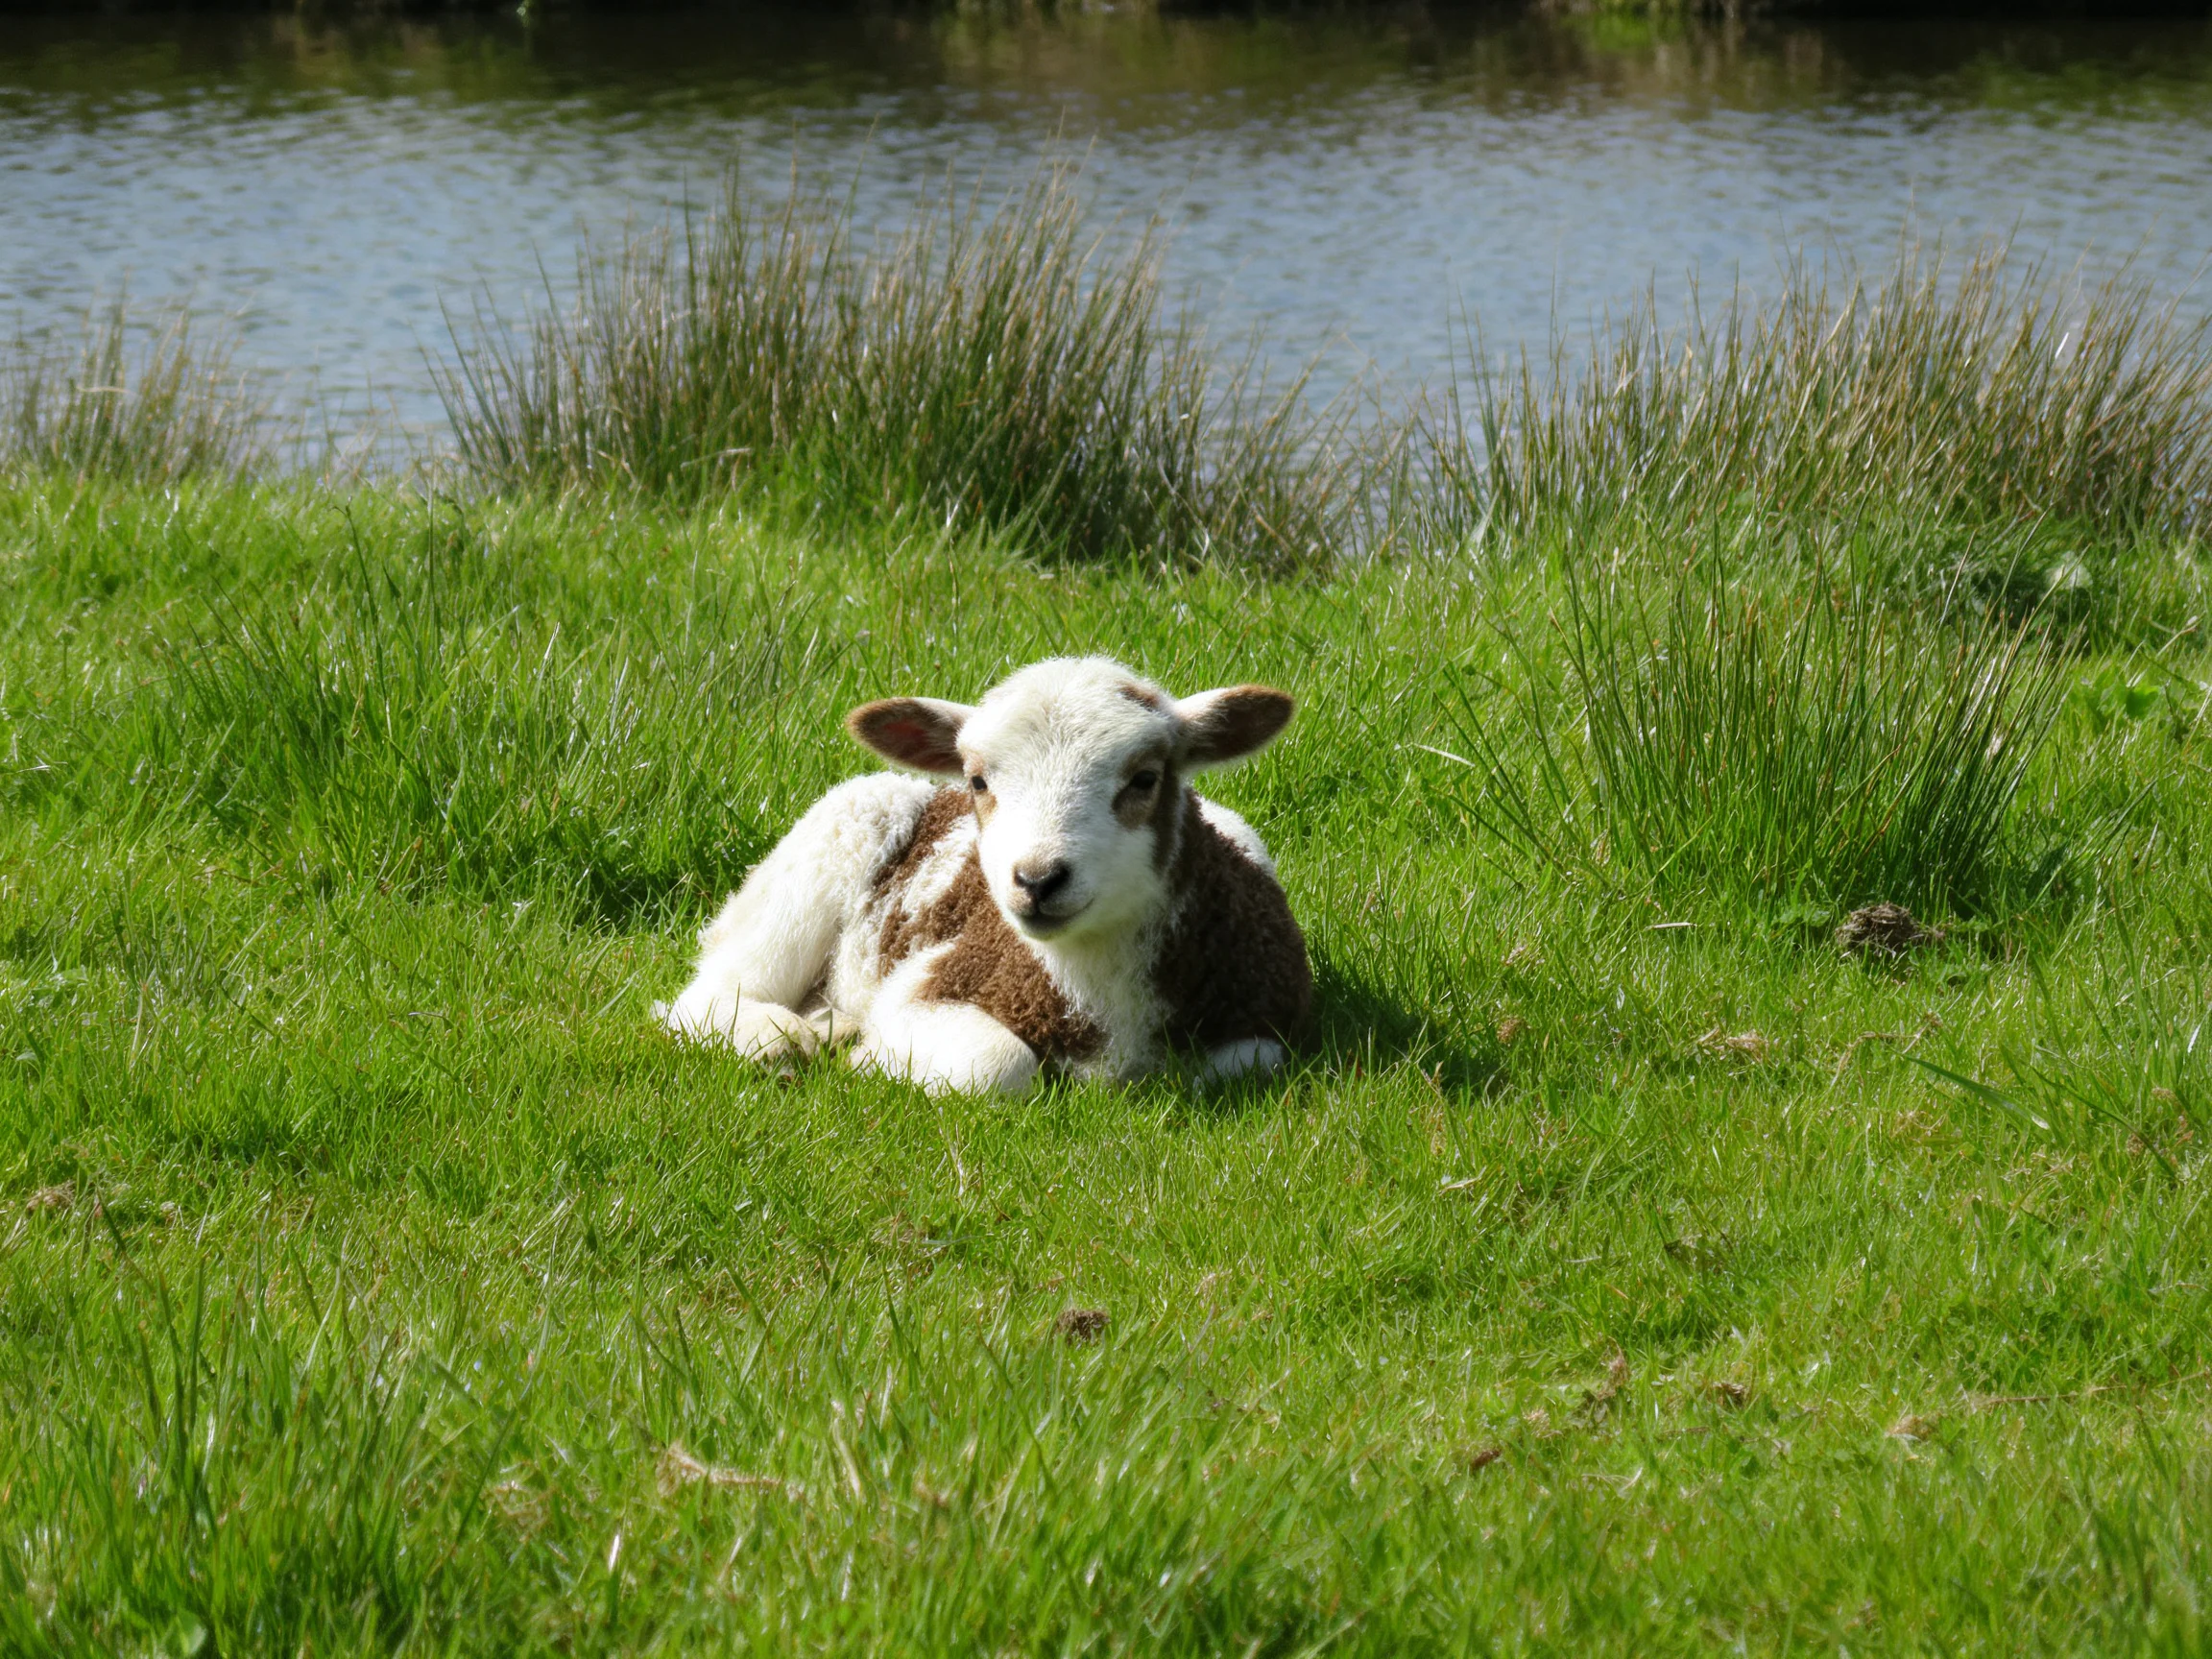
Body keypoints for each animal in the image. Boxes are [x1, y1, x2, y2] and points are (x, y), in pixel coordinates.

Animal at [658, 656, 1310, 1094]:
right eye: (979, 781)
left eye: (1145, 778)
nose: (1038, 880)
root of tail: (923, 789)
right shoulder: (934, 978)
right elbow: (998, 1064)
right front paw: (871, 1057)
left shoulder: (1267, 1015)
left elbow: (1242, 1061)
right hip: (827, 847)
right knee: (712, 992)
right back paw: (778, 1037)